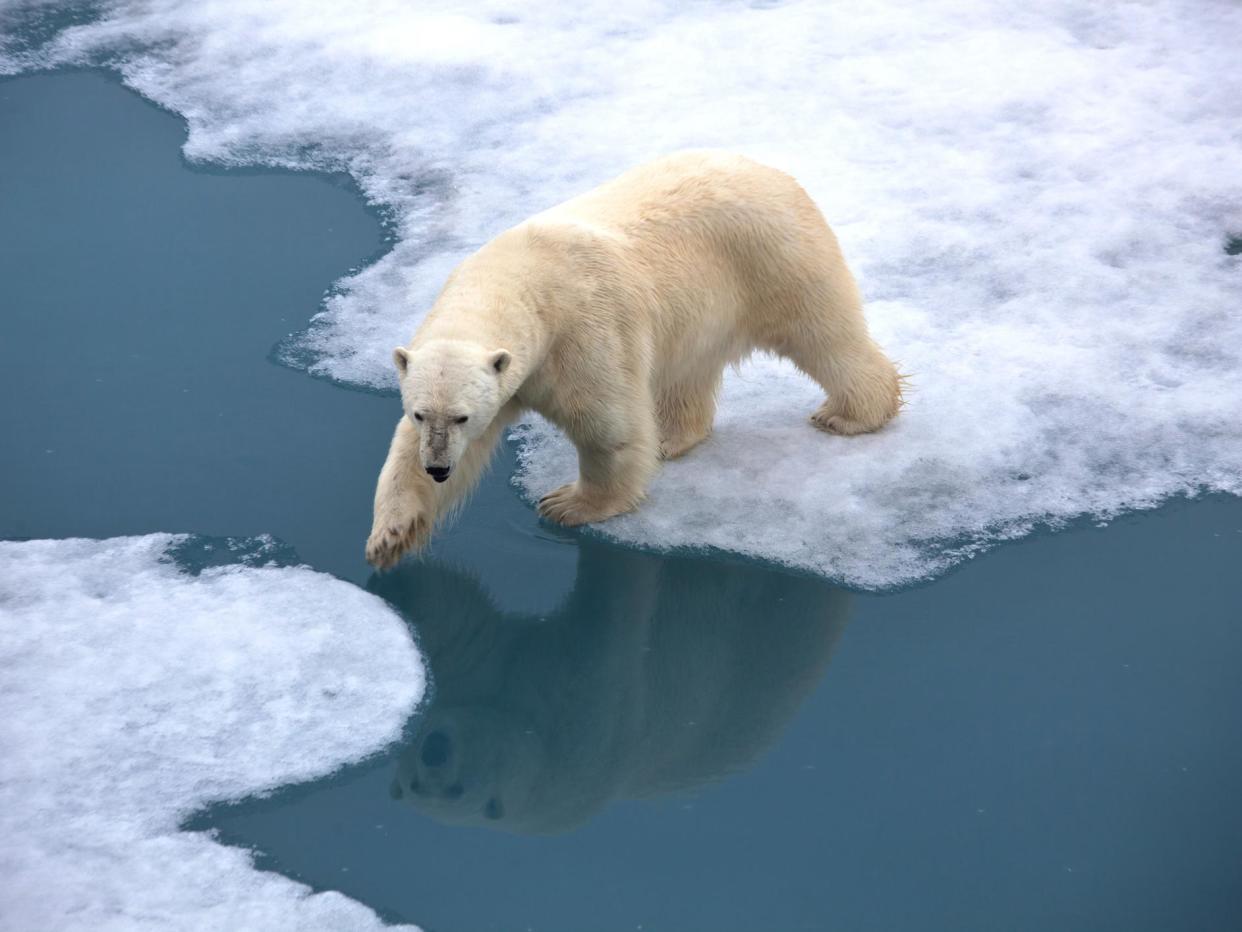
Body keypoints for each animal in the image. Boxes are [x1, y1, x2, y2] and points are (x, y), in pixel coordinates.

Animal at [362, 151, 899, 569]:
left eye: (462, 415)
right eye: (421, 413)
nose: (437, 469)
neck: (520, 281)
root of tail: (769, 170)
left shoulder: (582, 332)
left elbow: (607, 426)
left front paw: (567, 503)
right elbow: (405, 451)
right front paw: (389, 537)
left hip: (774, 257)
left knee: (824, 334)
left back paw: (849, 414)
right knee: (687, 374)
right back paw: (670, 438)